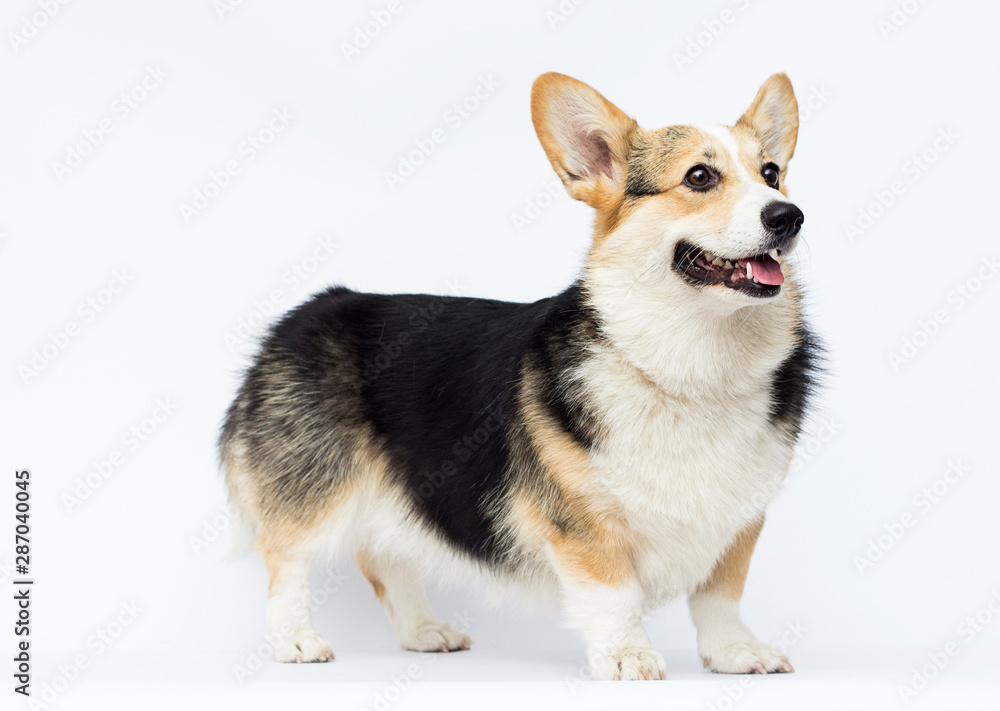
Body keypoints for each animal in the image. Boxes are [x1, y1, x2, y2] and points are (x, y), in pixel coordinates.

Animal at [217, 71, 812, 680]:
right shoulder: (583, 522)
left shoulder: (740, 518)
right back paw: (295, 640)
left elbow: (721, 595)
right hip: (316, 487)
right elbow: (613, 594)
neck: (692, 365)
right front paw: (627, 655)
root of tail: (307, 312)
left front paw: (736, 652)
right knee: (285, 559)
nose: (788, 216)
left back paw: (423, 631)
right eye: (699, 176)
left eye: (771, 173)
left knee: (386, 559)